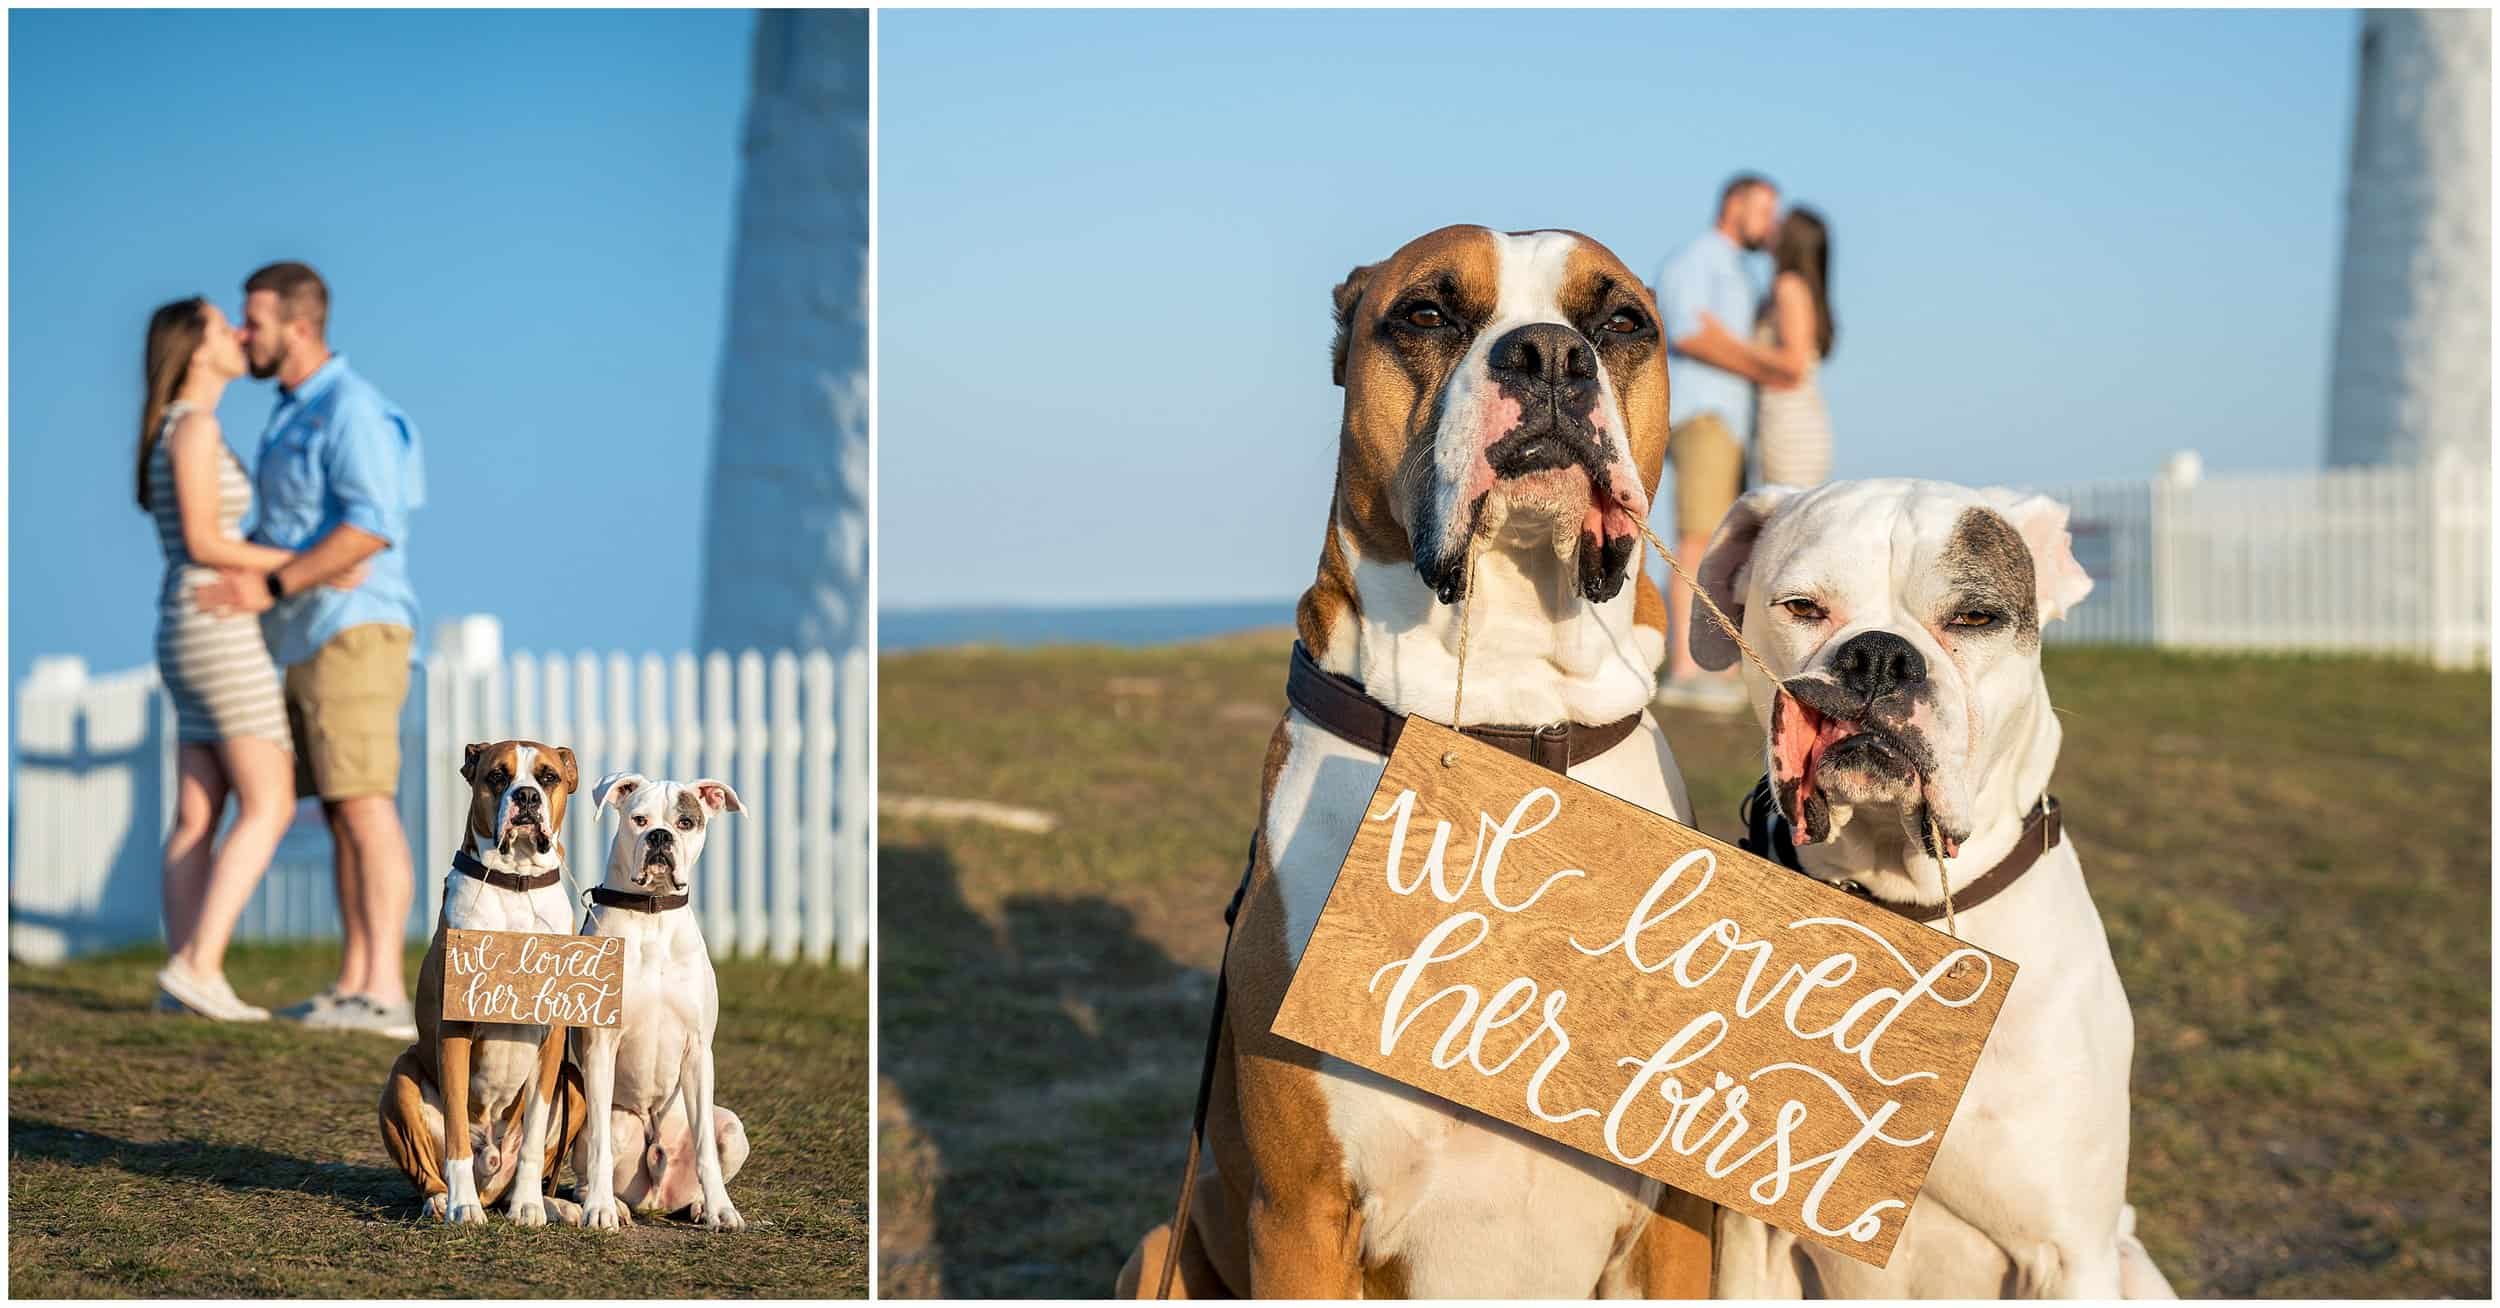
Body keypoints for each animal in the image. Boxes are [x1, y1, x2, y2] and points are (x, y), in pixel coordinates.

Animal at [377, 745, 587, 1230]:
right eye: (497, 776)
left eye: (548, 777)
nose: (526, 796)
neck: (517, 884)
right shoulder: (455, 1030)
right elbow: (455, 1124)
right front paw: (462, 1206)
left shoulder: (552, 1040)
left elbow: (533, 1136)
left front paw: (529, 1205)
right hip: (400, 1078)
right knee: (428, 1169)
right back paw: (444, 1200)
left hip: (574, 1085)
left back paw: (554, 1204)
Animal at [570, 775, 745, 1235]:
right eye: (640, 820)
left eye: (685, 822)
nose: (661, 837)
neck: (652, 915)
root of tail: (656, 1200)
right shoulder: (601, 1045)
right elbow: (599, 1150)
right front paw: (599, 1211)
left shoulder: (698, 1050)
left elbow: (705, 1149)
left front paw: (721, 1210)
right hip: (612, 1123)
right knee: (592, 1160)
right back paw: (612, 1204)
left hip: (731, 1126)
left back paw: (700, 1204)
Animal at [1120, 225, 1720, 1300]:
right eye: (1429, 313)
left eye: (1621, 322)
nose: (1551, 356)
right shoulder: (1303, 1219)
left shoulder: (1673, 1227)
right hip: (1156, 1248)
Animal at [1700, 477, 2170, 1300]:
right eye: (1802, 607)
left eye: (1975, 618)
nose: (1879, 658)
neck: (1899, 891)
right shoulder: (1753, 1235)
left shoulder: (2072, 1255)